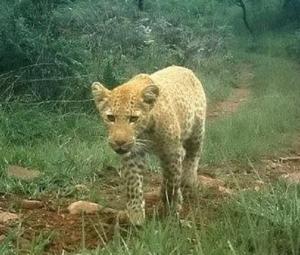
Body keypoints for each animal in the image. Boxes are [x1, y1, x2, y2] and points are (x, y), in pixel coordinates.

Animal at [91, 65, 206, 225]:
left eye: (133, 119)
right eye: (111, 117)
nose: (120, 142)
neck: (145, 132)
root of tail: (184, 68)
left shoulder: (170, 151)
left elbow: (171, 182)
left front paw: (172, 209)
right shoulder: (133, 154)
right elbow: (133, 184)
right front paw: (136, 215)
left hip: (197, 131)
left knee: (193, 154)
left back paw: (188, 180)